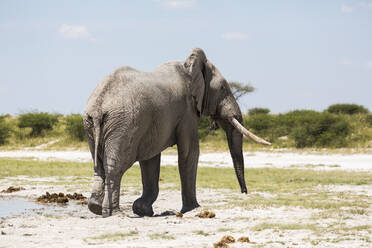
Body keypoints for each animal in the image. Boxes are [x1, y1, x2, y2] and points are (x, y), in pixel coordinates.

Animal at [83, 48, 270, 217]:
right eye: (223, 88)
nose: (244, 192)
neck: (188, 67)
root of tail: (99, 105)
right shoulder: (186, 110)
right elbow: (189, 153)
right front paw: (194, 209)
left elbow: (151, 159)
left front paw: (142, 210)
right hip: (124, 124)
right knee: (116, 166)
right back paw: (114, 213)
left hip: (93, 125)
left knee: (99, 165)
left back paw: (95, 208)